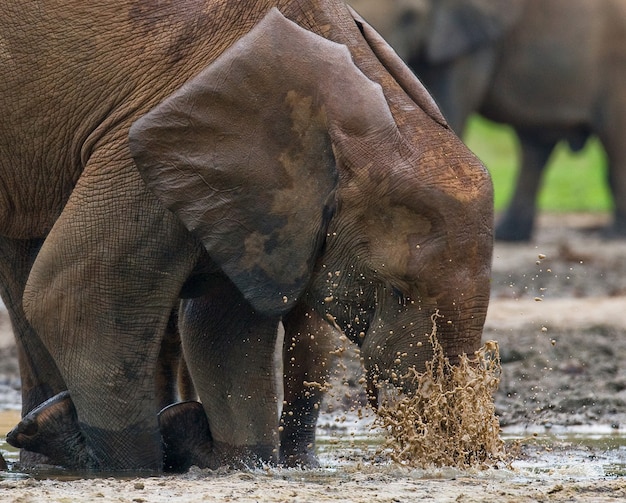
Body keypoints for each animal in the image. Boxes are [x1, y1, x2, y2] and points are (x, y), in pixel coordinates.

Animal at [1, 0, 492, 472]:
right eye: (396, 290)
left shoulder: (249, 200)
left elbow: (225, 329)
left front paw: (248, 465)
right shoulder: (143, 144)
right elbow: (80, 300)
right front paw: (133, 470)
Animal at [348, 0, 624, 242]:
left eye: (409, 17)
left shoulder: (470, 40)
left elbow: (447, 102)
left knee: (613, 141)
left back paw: (612, 235)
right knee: (536, 147)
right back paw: (510, 236)